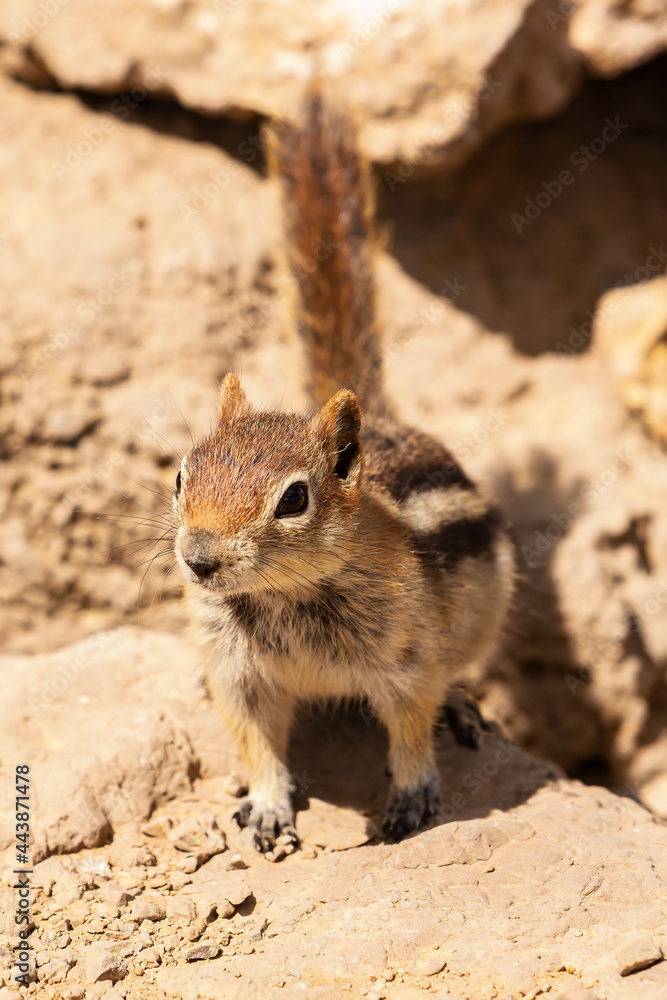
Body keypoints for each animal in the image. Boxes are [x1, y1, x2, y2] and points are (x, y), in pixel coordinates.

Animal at [173, 92, 515, 856]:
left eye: (294, 499)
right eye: (181, 477)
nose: (198, 560)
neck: (283, 596)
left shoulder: (407, 656)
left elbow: (411, 722)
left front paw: (412, 793)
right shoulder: (234, 671)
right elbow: (253, 737)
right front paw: (268, 802)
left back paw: (461, 703)